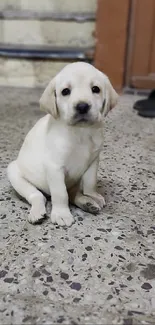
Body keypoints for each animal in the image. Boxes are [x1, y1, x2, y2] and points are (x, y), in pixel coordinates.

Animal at [7, 62, 118, 227]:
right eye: (65, 91)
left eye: (95, 89)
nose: (82, 106)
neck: (80, 132)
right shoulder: (54, 167)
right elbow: (60, 193)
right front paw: (61, 214)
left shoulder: (93, 161)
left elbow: (90, 183)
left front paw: (92, 195)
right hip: (15, 173)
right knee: (38, 196)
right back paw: (37, 213)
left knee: (73, 193)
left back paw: (87, 202)